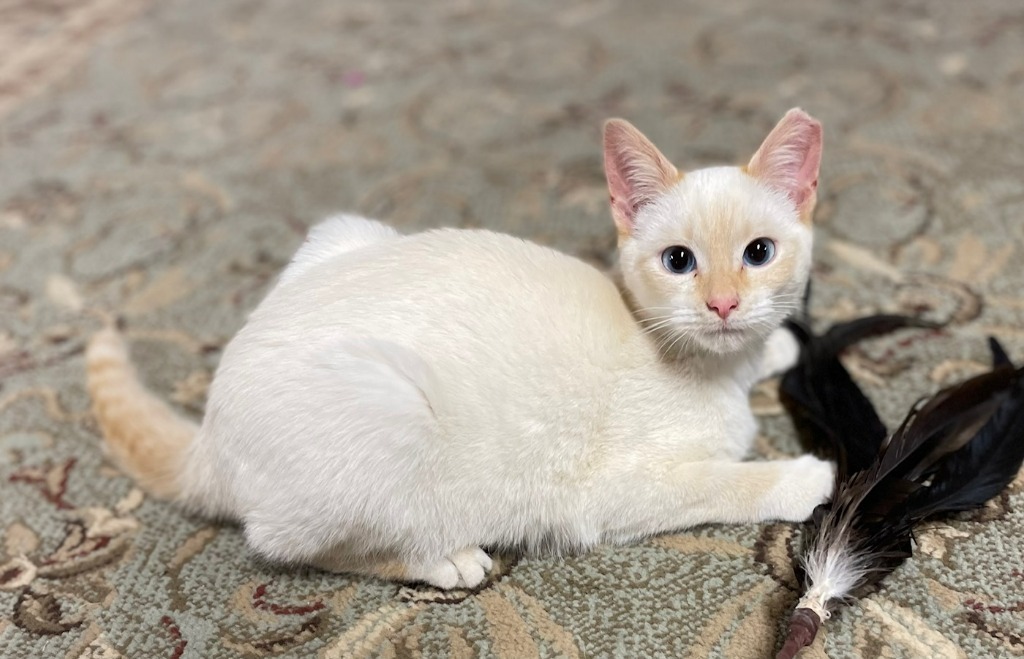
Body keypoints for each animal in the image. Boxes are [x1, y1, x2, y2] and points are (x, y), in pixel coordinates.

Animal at [88, 106, 831, 585]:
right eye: (680, 261)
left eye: (758, 253)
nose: (723, 304)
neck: (707, 368)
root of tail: (209, 429)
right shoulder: (614, 493)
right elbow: (723, 481)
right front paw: (806, 476)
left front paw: (778, 349)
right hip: (388, 402)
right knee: (284, 543)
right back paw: (442, 559)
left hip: (347, 230)